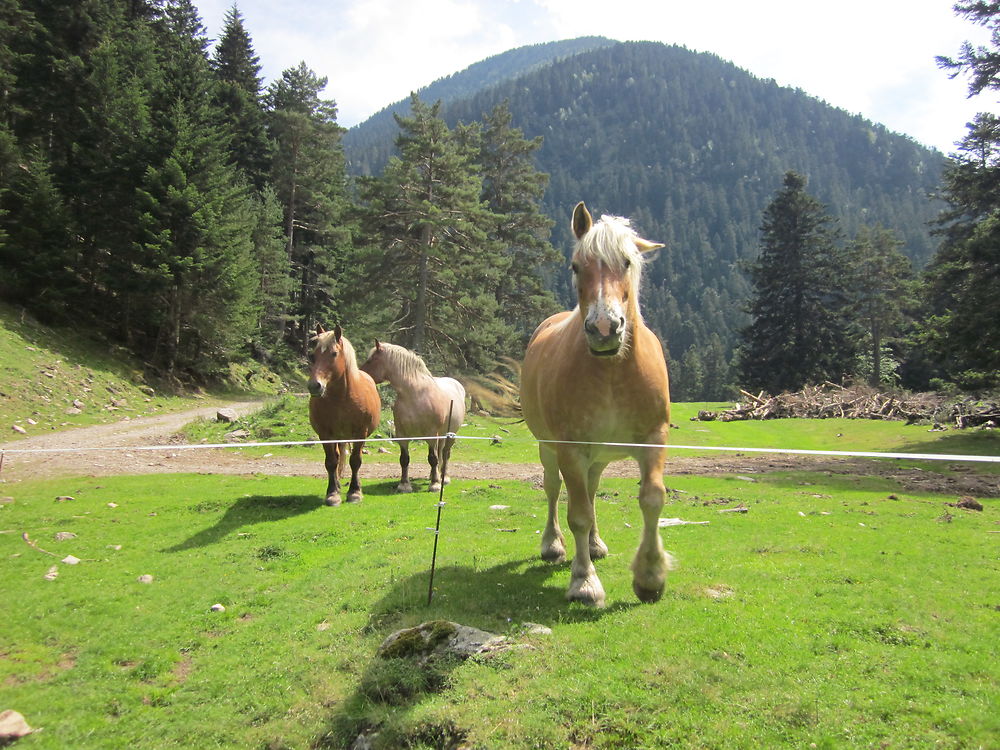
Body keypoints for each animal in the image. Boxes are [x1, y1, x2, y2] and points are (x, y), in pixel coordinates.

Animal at [306, 326, 380, 508]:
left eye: (334, 353)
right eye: (313, 355)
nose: (314, 386)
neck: (342, 398)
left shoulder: (360, 433)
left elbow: (355, 461)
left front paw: (355, 492)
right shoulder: (325, 434)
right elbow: (331, 462)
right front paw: (333, 494)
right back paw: (337, 486)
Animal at [360, 340, 468, 494]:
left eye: (371, 360)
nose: (360, 375)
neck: (415, 395)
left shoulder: (431, 435)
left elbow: (433, 458)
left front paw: (435, 485)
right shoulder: (402, 435)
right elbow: (404, 459)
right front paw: (404, 485)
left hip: (449, 435)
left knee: (445, 454)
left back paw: (444, 478)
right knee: (441, 453)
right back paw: (433, 475)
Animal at [520, 203, 676, 608]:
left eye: (627, 262)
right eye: (577, 265)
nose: (604, 328)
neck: (611, 373)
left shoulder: (654, 440)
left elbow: (652, 499)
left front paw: (651, 576)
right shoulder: (571, 449)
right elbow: (576, 514)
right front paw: (584, 581)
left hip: (599, 457)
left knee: (590, 493)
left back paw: (594, 544)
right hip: (549, 449)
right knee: (555, 490)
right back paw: (554, 546)